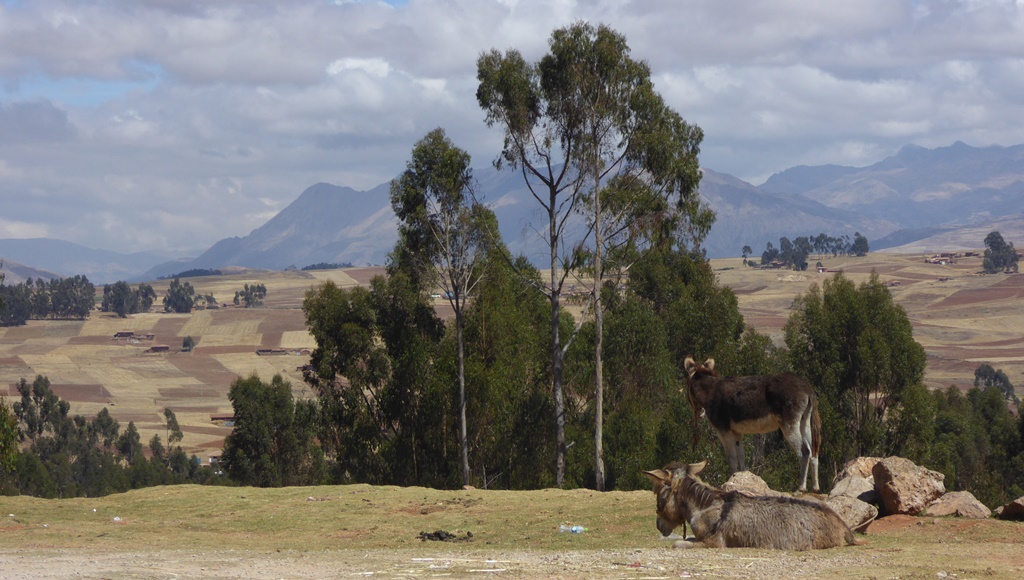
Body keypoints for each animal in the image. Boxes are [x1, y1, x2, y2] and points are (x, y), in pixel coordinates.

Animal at [643, 461, 860, 550]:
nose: (658, 525)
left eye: (659, 492)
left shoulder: (714, 543)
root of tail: (840, 522)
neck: (705, 505)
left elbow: (677, 544)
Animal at [684, 356, 821, 492]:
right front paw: (741, 479)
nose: (698, 414)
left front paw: (729, 481)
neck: (710, 390)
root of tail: (806, 388)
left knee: (804, 452)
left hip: (789, 425)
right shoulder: (737, 432)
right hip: (804, 422)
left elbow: (732, 458)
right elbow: (741, 456)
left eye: (687, 384)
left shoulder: (723, 431)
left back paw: (801, 487)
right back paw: (815, 488)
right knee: (813, 452)